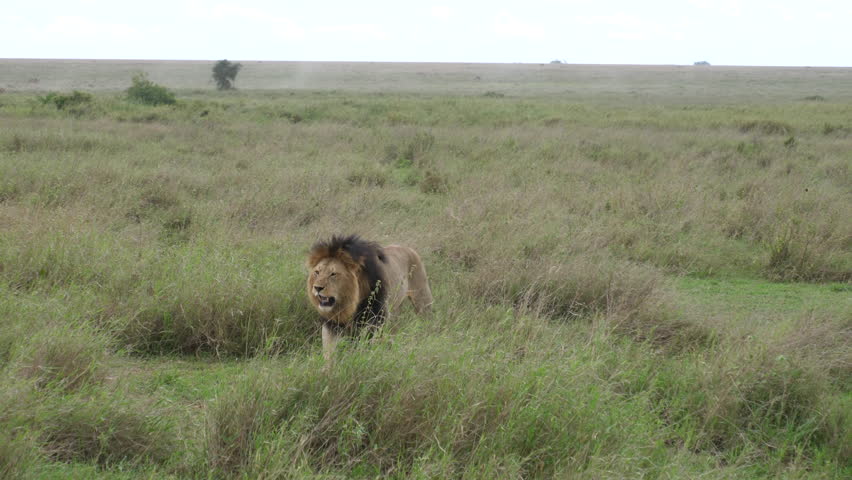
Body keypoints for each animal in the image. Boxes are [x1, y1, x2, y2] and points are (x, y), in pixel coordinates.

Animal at [307, 234, 433, 363]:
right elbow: (329, 351)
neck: (350, 303)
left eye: (333, 274)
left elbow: (367, 345)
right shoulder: (331, 323)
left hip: (422, 298)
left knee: (427, 318)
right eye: (317, 272)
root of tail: (407, 248)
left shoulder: (376, 319)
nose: (317, 288)